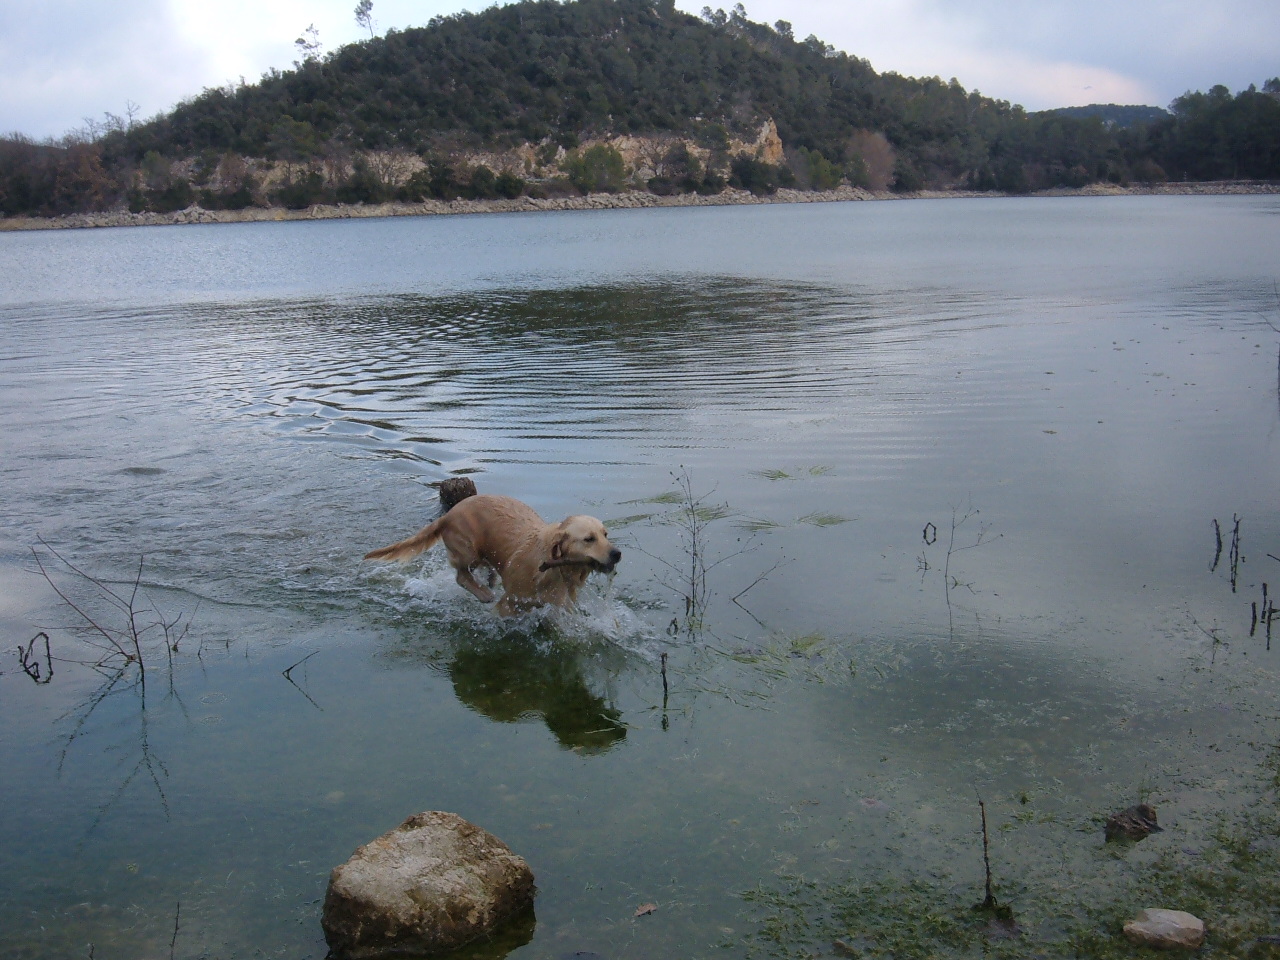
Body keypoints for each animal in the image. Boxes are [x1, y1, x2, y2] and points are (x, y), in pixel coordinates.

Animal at [363, 488, 622, 616]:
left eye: (606, 534)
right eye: (589, 539)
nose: (617, 554)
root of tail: (448, 515)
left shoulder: (559, 606)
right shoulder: (511, 602)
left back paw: (489, 583)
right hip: (468, 550)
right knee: (461, 576)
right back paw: (483, 593)